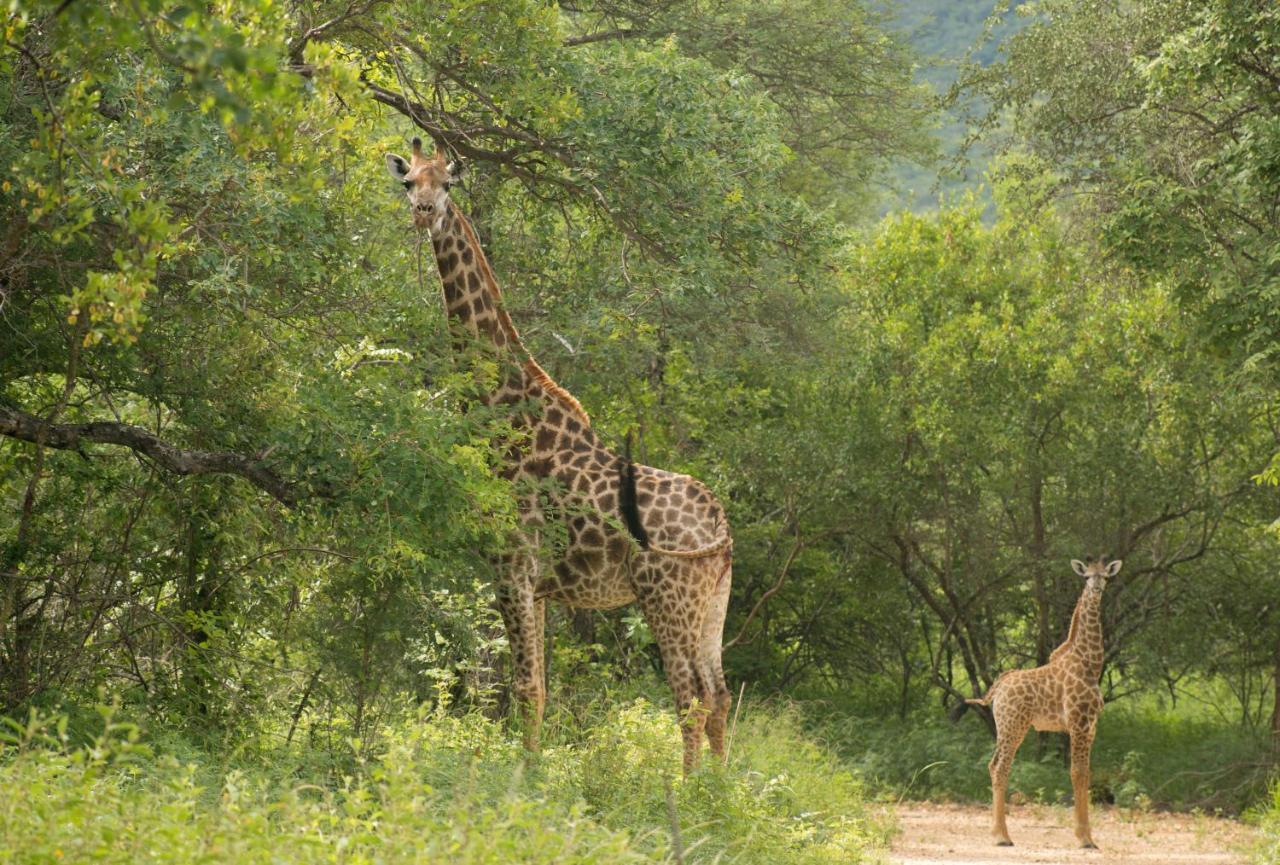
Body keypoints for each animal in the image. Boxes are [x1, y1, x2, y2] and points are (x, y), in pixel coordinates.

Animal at [381, 140, 732, 772]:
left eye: (447, 184)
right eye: (408, 182)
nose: (423, 213)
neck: (504, 410)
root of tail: (719, 522)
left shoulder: (510, 563)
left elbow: (524, 688)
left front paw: (526, 780)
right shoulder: (540, 585)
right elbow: (537, 688)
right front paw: (534, 771)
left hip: (666, 598)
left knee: (689, 695)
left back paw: (690, 792)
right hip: (713, 603)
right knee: (717, 694)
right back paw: (722, 789)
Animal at [967, 557, 1121, 849]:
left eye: (1105, 577)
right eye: (1087, 577)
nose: (1096, 588)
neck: (1090, 663)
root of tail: (1000, 686)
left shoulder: (1091, 726)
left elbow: (1086, 774)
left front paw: (1088, 837)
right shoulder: (1078, 723)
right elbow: (1077, 773)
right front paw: (1084, 838)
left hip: (1007, 727)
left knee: (993, 765)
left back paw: (997, 833)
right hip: (1013, 726)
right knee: (1001, 767)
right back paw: (1002, 837)